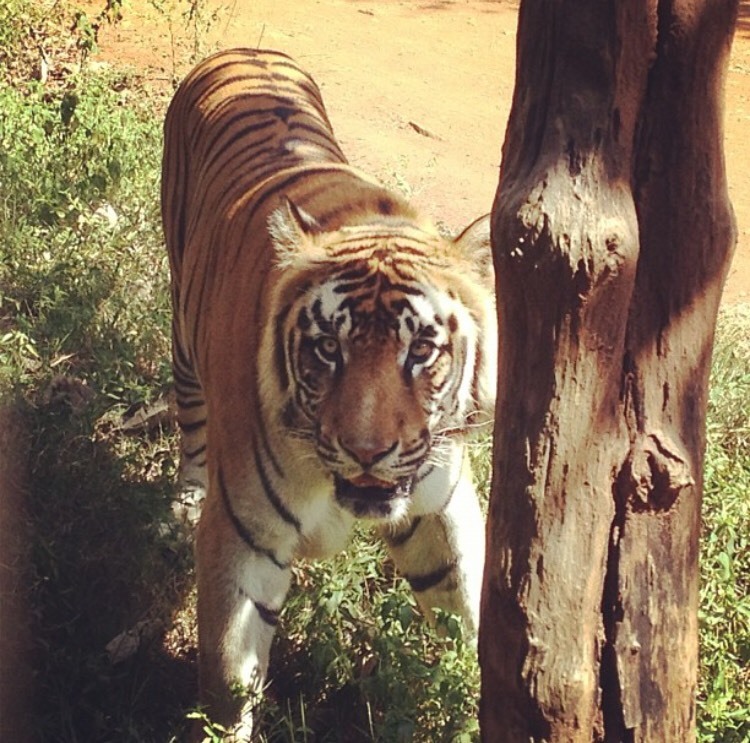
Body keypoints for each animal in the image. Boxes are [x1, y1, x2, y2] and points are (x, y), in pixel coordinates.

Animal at [162, 48, 496, 740]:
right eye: (326, 349)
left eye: (421, 350)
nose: (367, 452)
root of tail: (242, 49)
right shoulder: (244, 534)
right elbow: (229, 683)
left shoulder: (439, 503)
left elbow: (471, 619)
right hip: (182, 333)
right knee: (192, 426)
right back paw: (183, 501)